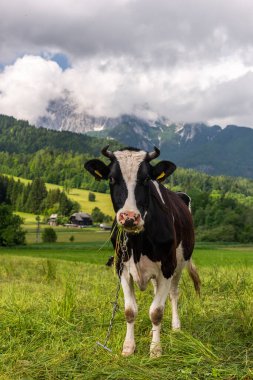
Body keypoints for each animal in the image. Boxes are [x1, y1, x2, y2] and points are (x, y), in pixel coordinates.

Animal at [84, 147, 200, 358]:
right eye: (111, 178)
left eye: (146, 179)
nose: (129, 217)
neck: (138, 242)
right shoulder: (121, 267)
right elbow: (130, 310)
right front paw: (128, 347)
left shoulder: (167, 267)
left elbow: (156, 311)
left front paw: (155, 349)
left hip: (179, 264)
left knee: (173, 294)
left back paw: (176, 327)